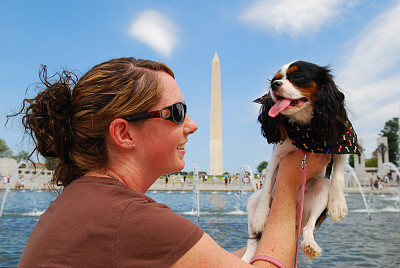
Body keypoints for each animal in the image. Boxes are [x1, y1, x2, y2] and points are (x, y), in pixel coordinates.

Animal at [242, 60, 360, 262]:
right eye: (274, 79)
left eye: (297, 76)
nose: (274, 85)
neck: (306, 131)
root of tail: (296, 219)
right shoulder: (276, 157)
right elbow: (267, 187)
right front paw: (260, 217)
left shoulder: (341, 146)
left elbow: (338, 177)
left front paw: (338, 204)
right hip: (252, 200)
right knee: (252, 241)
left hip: (321, 189)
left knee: (308, 227)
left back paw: (310, 244)